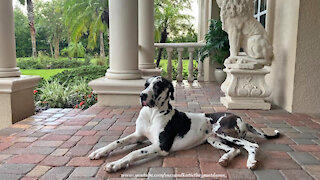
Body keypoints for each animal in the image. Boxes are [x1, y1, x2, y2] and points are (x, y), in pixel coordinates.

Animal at [89, 75, 278, 172]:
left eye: (159, 85)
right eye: (145, 84)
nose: (142, 95)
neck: (152, 113)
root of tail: (240, 117)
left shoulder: (161, 146)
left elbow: (134, 152)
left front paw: (115, 164)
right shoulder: (138, 135)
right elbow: (117, 141)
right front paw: (99, 151)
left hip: (223, 131)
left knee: (252, 145)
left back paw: (251, 162)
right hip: (214, 139)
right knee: (235, 150)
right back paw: (225, 159)